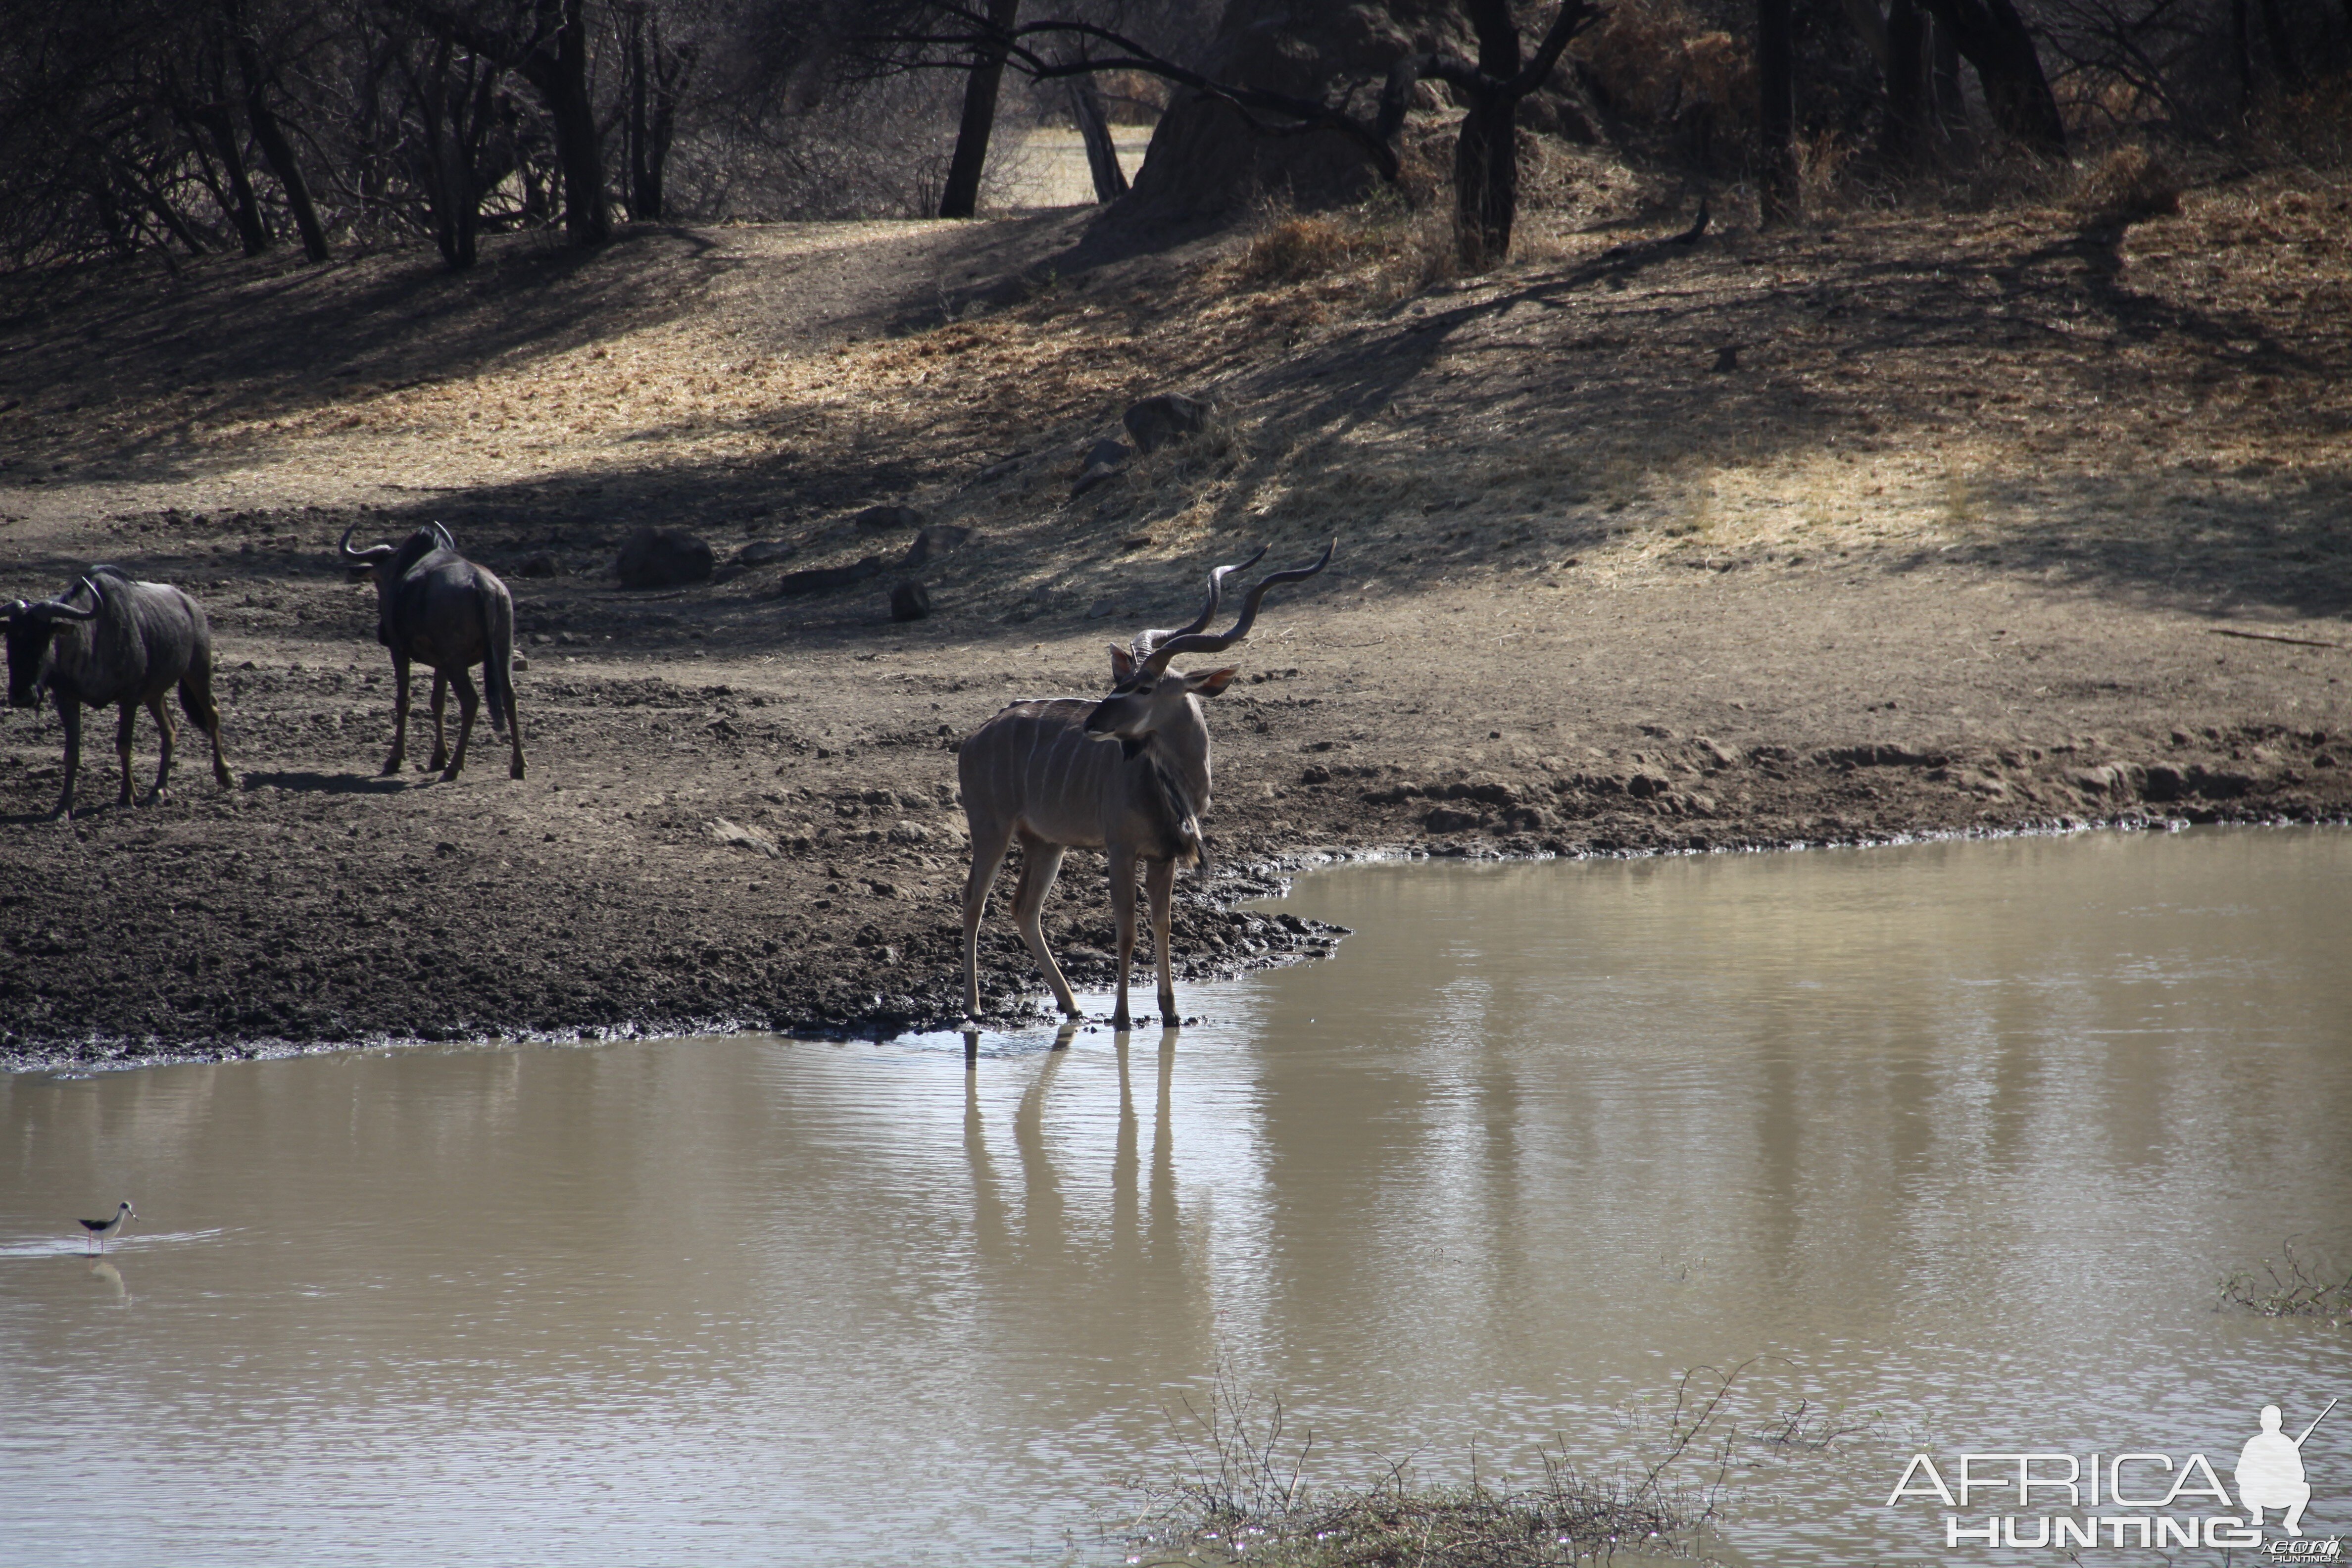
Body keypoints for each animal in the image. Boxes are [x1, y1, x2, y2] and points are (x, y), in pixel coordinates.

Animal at [1, 566, 235, 823]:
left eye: (44, 638)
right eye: (10, 638)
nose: (21, 696)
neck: (93, 639)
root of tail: (192, 607)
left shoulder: (129, 699)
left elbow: (124, 745)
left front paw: (126, 797)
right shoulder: (67, 700)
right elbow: (71, 754)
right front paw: (63, 808)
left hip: (198, 672)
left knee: (212, 713)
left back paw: (224, 775)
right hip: (154, 695)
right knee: (170, 730)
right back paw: (159, 790)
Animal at [336, 524, 524, 780]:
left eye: (379, 582)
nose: (382, 632)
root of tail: (483, 587)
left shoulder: (399, 652)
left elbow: (403, 701)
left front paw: (395, 759)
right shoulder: (441, 664)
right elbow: (438, 703)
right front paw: (438, 757)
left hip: (457, 663)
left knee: (470, 701)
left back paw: (455, 767)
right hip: (502, 652)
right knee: (509, 695)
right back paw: (518, 766)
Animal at [950, 540, 1326, 1029]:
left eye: (1144, 687)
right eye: (1122, 681)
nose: (1093, 723)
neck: (1167, 784)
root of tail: (977, 735)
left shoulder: (1163, 856)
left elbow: (1162, 924)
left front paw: (1171, 1012)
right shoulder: (1121, 849)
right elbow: (1127, 931)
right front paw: (1123, 1016)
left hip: (1047, 843)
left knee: (1024, 908)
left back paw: (1071, 1005)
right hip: (991, 828)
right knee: (974, 899)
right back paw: (973, 1007)